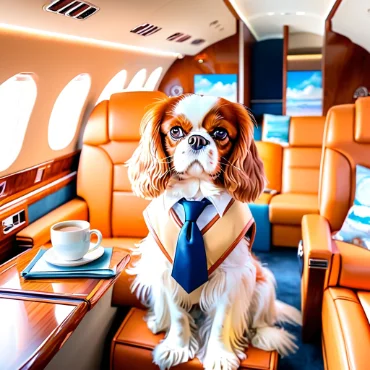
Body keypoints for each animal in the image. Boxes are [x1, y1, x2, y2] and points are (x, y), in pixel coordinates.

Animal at [126, 94, 300, 368]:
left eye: (220, 133)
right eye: (175, 131)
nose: (197, 140)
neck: (196, 198)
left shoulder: (233, 276)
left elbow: (221, 321)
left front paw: (219, 355)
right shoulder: (168, 268)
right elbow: (178, 315)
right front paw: (176, 348)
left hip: (262, 282)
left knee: (260, 319)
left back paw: (265, 335)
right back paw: (158, 322)